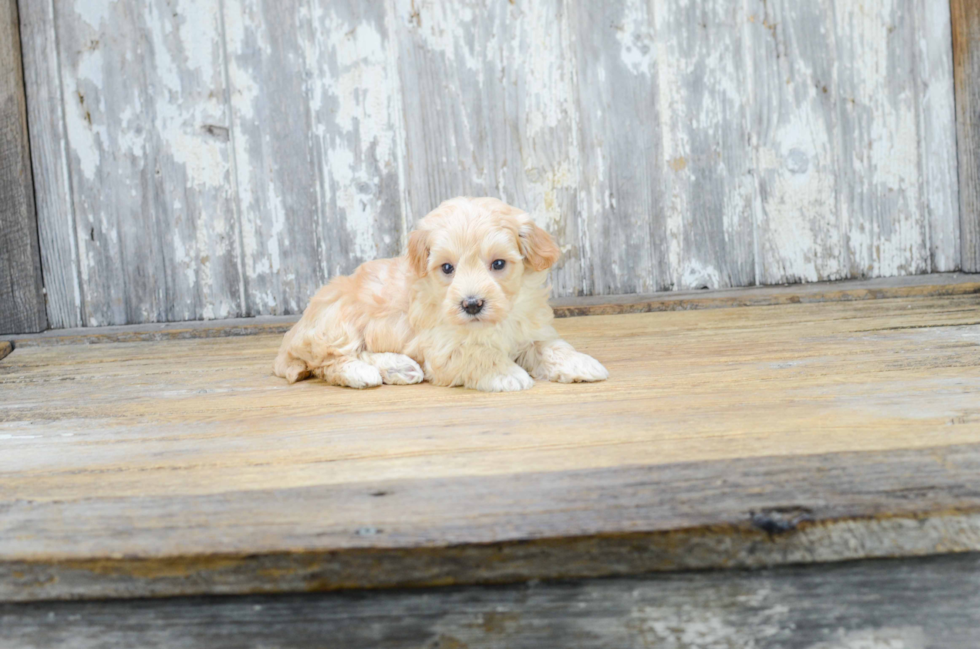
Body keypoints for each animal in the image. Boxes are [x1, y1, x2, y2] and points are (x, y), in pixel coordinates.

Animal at [274, 196, 604, 390]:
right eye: (447, 268)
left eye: (498, 264)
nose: (471, 304)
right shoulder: (444, 349)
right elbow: (478, 353)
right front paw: (507, 373)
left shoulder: (529, 330)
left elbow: (550, 347)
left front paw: (581, 363)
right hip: (337, 324)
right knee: (328, 362)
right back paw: (362, 373)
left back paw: (398, 368)